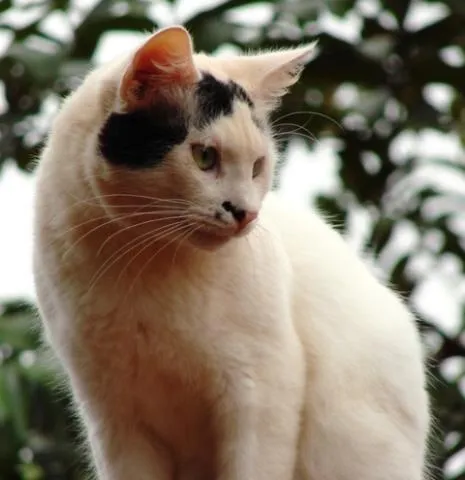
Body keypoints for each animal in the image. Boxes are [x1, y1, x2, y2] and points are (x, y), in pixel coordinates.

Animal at [34, 25, 430, 480]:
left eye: (258, 166)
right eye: (204, 157)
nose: (246, 213)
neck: (143, 260)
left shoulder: (262, 388)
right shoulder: (111, 415)